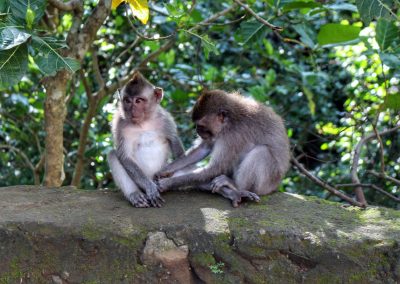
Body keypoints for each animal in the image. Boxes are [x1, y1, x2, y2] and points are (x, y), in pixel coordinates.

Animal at [108, 72, 185, 207]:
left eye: (138, 100)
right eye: (127, 101)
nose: (132, 110)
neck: (144, 123)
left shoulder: (166, 120)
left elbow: (179, 153)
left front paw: (164, 179)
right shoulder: (120, 125)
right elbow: (125, 157)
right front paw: (150, 188)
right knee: (113, 154)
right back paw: (135, 194)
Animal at [157, 90, 290, 206]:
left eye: (201, 126)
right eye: (197, 125)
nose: (197, 130)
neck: (229, 121)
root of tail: (276, 185)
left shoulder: (233, 136)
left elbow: (215, 168)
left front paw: (168, 183)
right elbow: (203, 148)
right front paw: (165, 170)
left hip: (268, 182)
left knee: (261, 151)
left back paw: (236, 186)